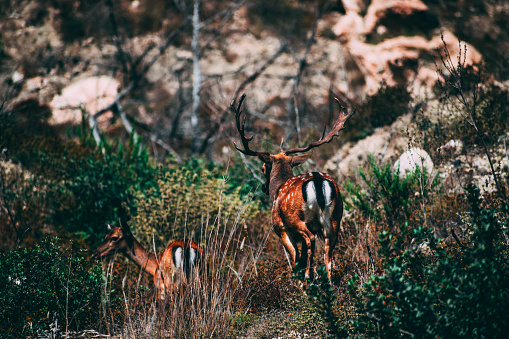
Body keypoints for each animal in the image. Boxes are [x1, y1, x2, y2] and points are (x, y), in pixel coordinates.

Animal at [230, 94, 354, 280]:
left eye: (263, 168)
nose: (264, 187)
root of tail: (318, 181)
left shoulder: (280, 227)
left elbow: (295, 261)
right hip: (335, 217)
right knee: (328, 254)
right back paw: (328, 281)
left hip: (296, 219)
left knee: (310, 240)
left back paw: (309, 277)